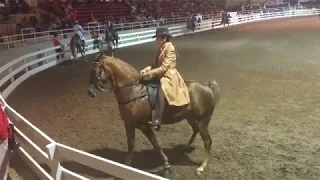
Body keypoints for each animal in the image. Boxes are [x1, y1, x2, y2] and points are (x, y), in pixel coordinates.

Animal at [85, 54, 220, 178]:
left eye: (95, 70)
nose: (90, 92)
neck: (134, 91)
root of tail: (207, 87)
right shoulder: (129, 124)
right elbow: (131, 144)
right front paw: (125, 166)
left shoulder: (144, 126)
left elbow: (155, 144)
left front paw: (167, 166)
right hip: (192, 119)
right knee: (195, 131)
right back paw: (183, 149)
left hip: (202, 122)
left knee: (208, 141)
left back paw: (201, 167)